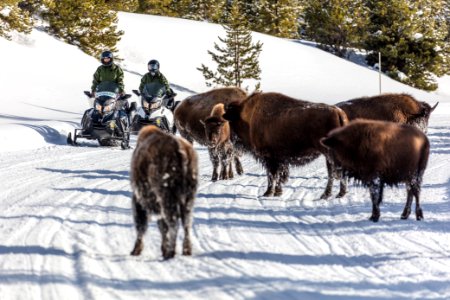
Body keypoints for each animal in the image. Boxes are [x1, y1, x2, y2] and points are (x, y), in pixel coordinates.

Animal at [129, 125, 198, 258]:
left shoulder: (139, 200)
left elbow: (142, 226)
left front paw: (136, 250)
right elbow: (162, 227)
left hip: (167, 199)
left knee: (173, 223)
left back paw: (170, 253)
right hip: (188, 200)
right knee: (186, 224)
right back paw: (186, 251)